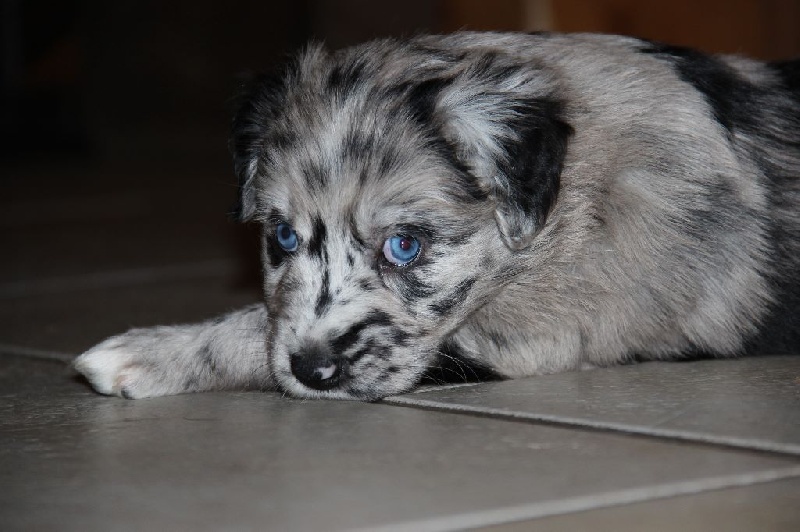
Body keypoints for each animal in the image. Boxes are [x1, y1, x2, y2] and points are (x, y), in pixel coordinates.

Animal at [73, 32, 800, 401]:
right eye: (281, 237)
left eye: (404, 246)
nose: (312, 371)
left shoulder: (544, 332)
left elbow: (258, 329)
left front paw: (147, 353)